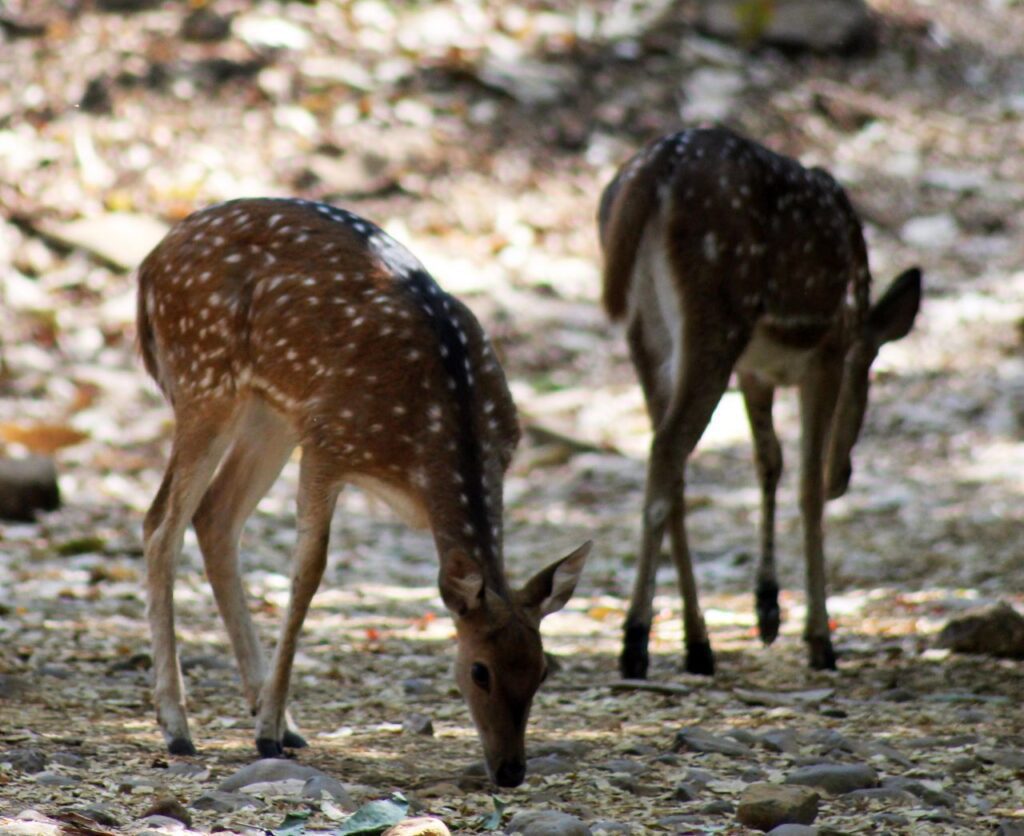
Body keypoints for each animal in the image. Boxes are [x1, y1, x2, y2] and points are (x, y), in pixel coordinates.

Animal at [134, 198, 593, 786]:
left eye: (542, 671)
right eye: (479, 671)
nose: (511, 770)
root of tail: (149, 264)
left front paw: (272, 722)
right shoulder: (329, 443)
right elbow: (309, 572)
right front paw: (264, 736)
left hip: (270, 411)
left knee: (215, 515)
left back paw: (276, 718)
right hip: (204, 378)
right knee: (161, 522)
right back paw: (179, 726)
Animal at [598, 129, 925, 680]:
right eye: (869, 372)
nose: (845, 476)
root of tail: (656, 170)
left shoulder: (755, 370)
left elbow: (768, 461)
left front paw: (767, 608)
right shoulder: (829, 351)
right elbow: (806, 486)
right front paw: (818, 639)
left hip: (648, 334)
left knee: (670, 464)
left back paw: (697, 644)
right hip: (715, 307)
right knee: (668, 450)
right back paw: (636, 642)